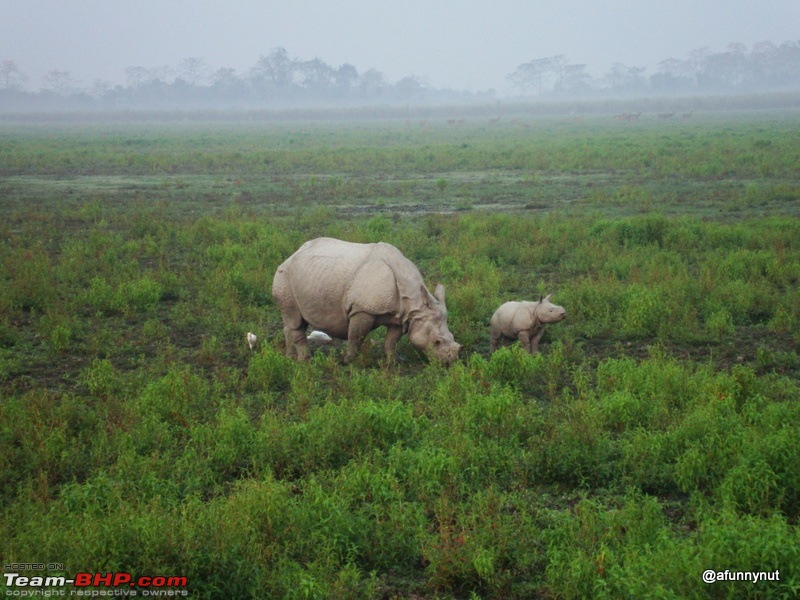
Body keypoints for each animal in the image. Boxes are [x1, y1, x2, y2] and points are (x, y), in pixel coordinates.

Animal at [270, 237, 462, 364]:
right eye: (436, 341)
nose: (450, 361)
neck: (415, 303)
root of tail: (291, 255)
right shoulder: (362, 309)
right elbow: (356, 336)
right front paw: (349, 360)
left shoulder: (401, 316)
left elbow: (391, 340)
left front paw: (393, 361)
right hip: (284, 276)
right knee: (294, 319)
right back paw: (305, 361)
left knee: (292, 321)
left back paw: (290, 357)